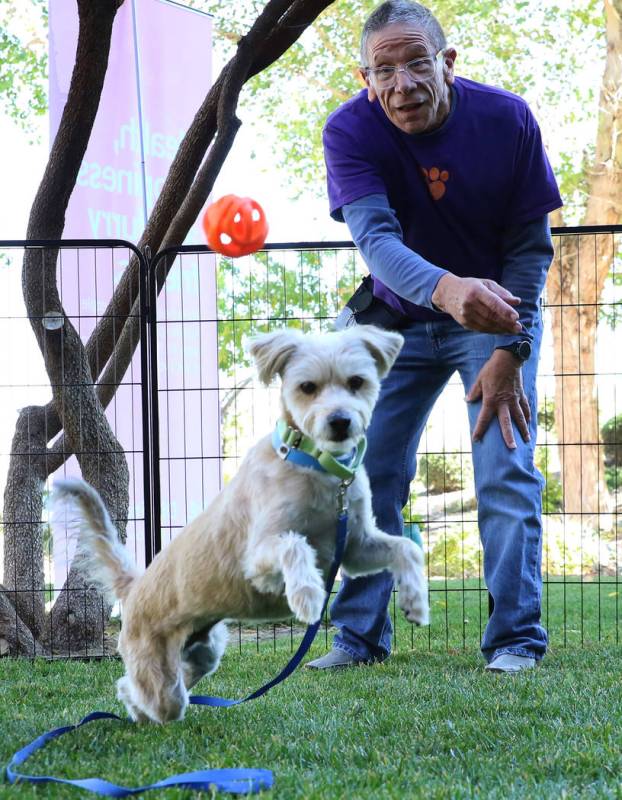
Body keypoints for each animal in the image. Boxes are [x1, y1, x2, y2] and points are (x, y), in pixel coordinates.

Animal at [54, 324, 428, 724]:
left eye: (357, 381)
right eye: (307, 387)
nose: (340, 421)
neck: (312, 464)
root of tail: (135, 586)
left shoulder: (354, 547)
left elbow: (406, 548)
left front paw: (415, 602)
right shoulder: (259, 559)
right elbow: (295, 544)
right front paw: (308, 595)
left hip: (201, 651)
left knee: (157, 687)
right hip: (155, 665)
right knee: (139, 691)